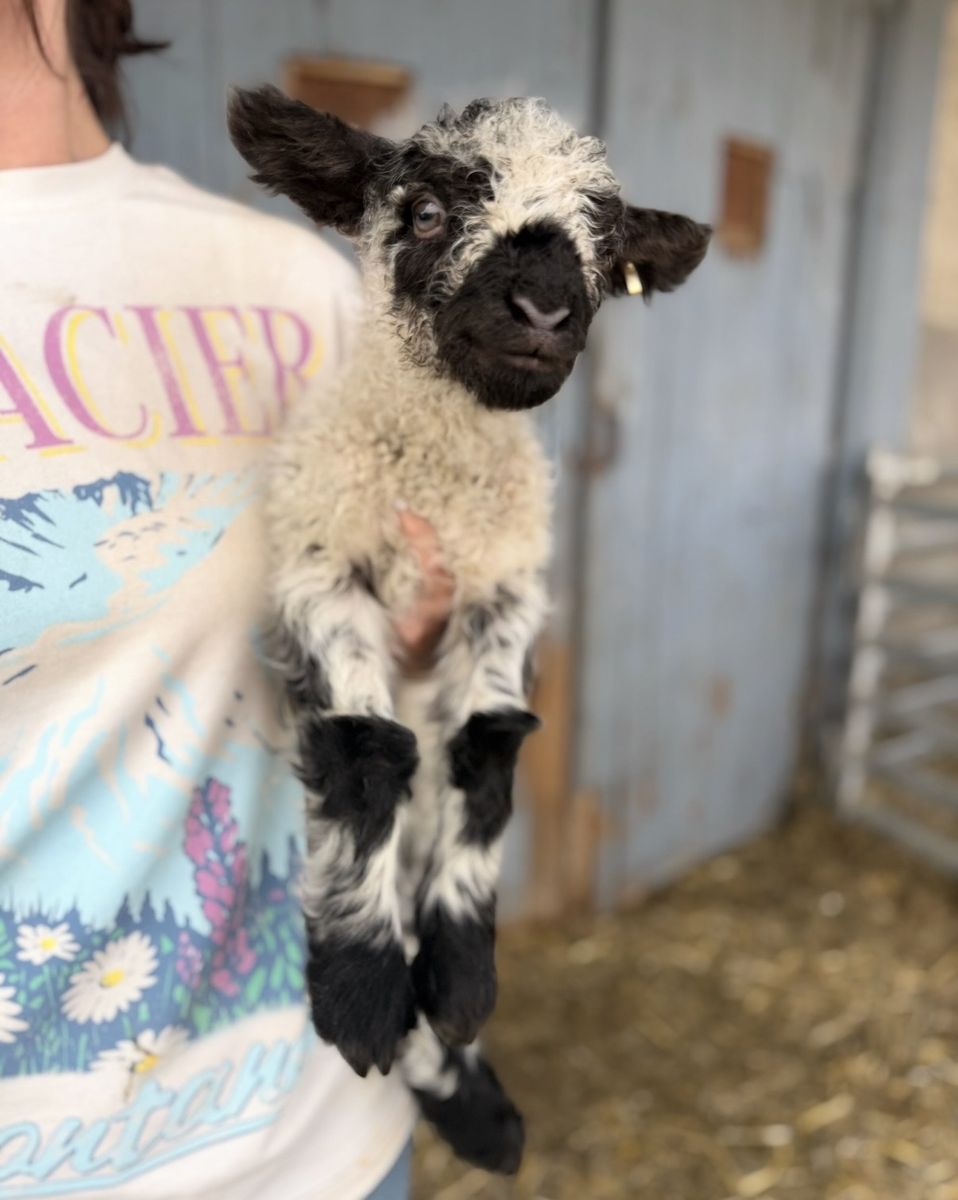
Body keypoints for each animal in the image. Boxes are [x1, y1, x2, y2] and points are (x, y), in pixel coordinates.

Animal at [228, 86, 710, 1172]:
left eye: (601, 245)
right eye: (425, 213)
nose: (544, 310)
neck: (437, 476)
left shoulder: (506, 588)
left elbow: (485, 750)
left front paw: (460, 983)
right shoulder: (321, 563)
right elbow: (365, 750)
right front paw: (363, 995)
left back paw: (477, 1107)